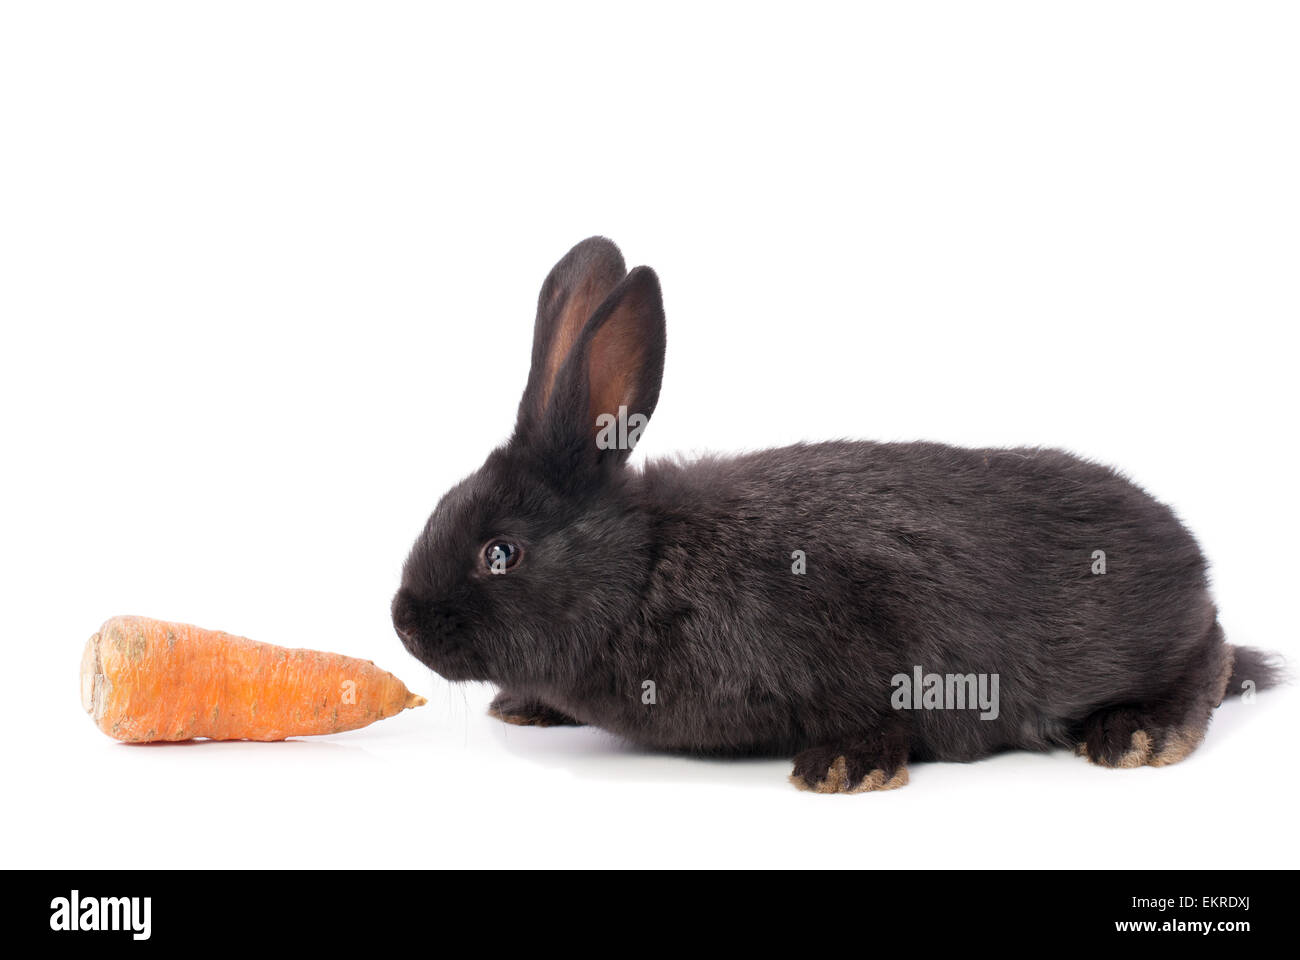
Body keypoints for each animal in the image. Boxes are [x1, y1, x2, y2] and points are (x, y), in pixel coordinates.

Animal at [387, 235, 1279, 790]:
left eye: (500, 554)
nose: (402, 621)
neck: (645, 570)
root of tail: (1193, 563)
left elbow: (887, 706)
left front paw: (844, 768)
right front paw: (524, 704)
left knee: (1211, 659)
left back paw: (1137, 735)